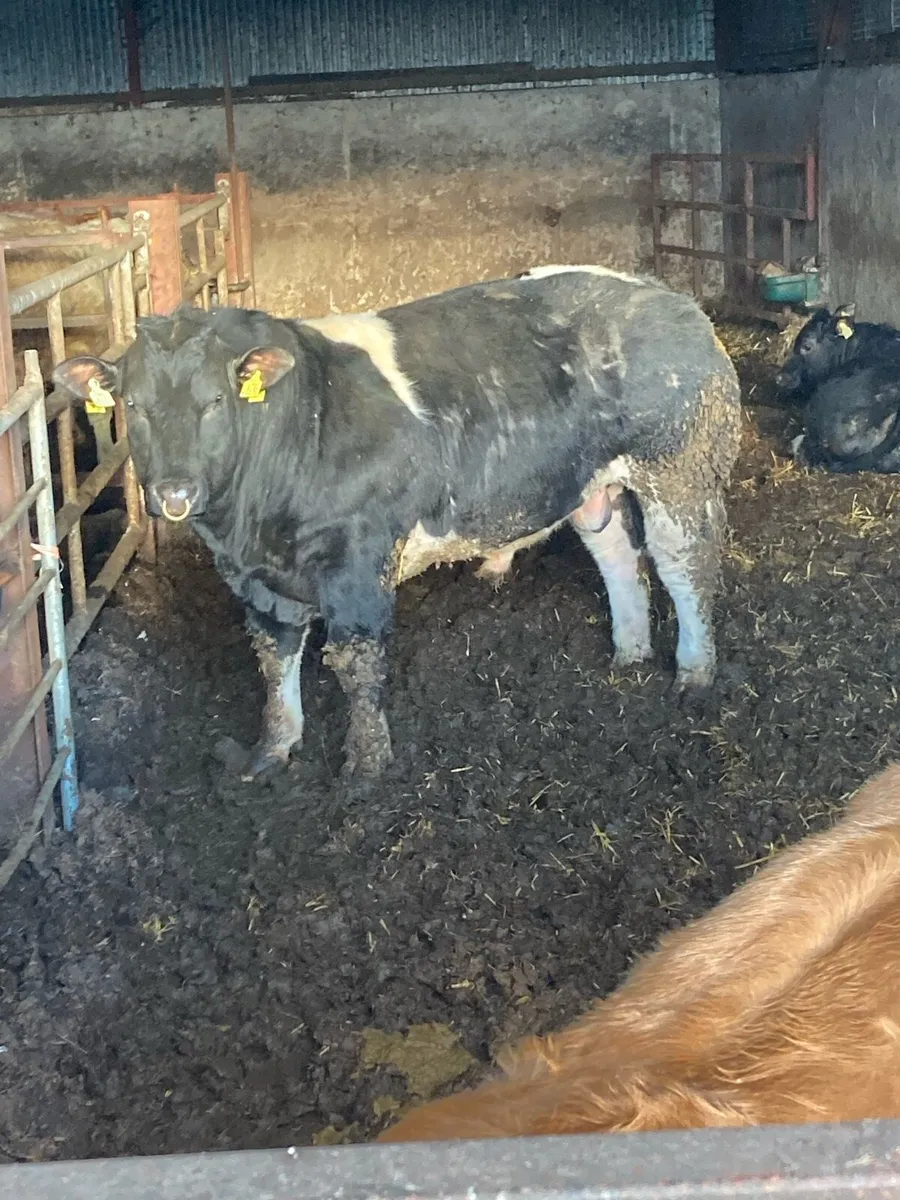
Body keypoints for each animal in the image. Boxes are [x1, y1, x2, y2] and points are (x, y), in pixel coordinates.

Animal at [53, 266, 741, 783]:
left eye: (215, 401)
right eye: (133, 405)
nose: (175, 490)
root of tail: (667, 295)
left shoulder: (357, 559)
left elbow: (356, 662)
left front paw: (366, 768)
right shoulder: (257, 580)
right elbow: (274, 658)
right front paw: (272, 750)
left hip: (680, 464)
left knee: (684, 563)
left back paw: (693, 673)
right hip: (592, 486)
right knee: (619, 557)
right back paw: (629, 654)